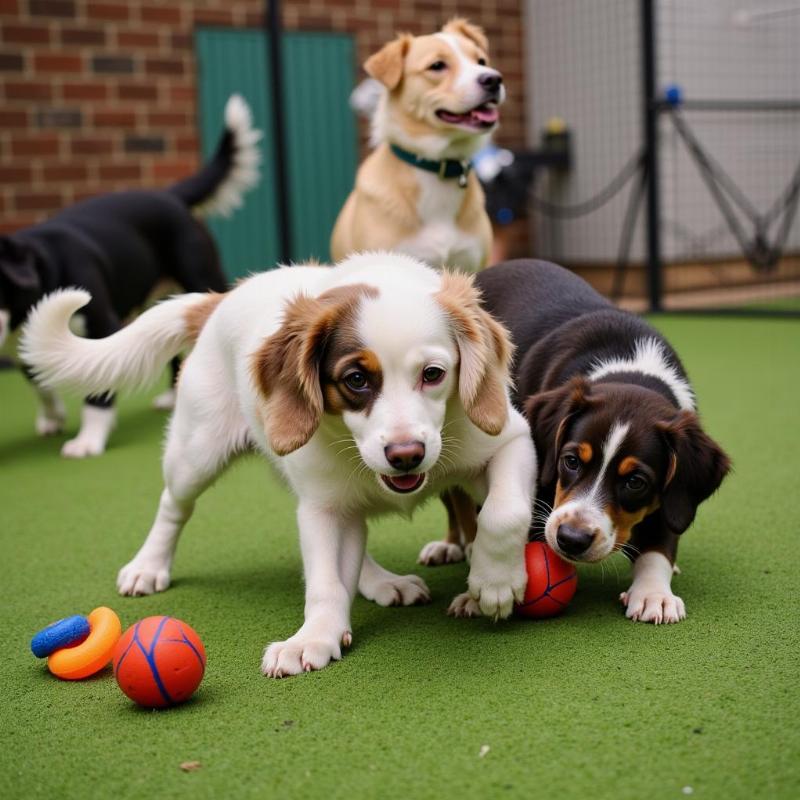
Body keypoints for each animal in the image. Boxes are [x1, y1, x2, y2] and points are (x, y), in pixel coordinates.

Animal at [1, 94, 260, 456]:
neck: (46, 263)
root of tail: (169, 195)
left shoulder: (102, 325)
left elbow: (96, 387)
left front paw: (88, 441)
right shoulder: (25, 344)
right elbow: (40, 380)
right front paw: (52, 419)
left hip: (200, 276)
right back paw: (171, 396)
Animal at [21, 253, 536, 680]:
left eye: (433, 374)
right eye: (356, 379)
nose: (405, 454)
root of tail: (220, 298)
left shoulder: (511, 439)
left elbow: (503, 513)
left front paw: (493, 583)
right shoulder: (322, 507)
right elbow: (325, 583)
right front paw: (314, 637)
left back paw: (380, 581)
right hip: (196, 454)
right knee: (174, 505)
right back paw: (149, 565)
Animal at [428, 260, 728, 620]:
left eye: (636, 482)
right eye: (571, 461)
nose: (572, 538)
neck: (630, 368)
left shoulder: (674, 496)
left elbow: (660, 545)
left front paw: (654, 594)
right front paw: (483, 592)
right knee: (457, 502)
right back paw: (452, 546)